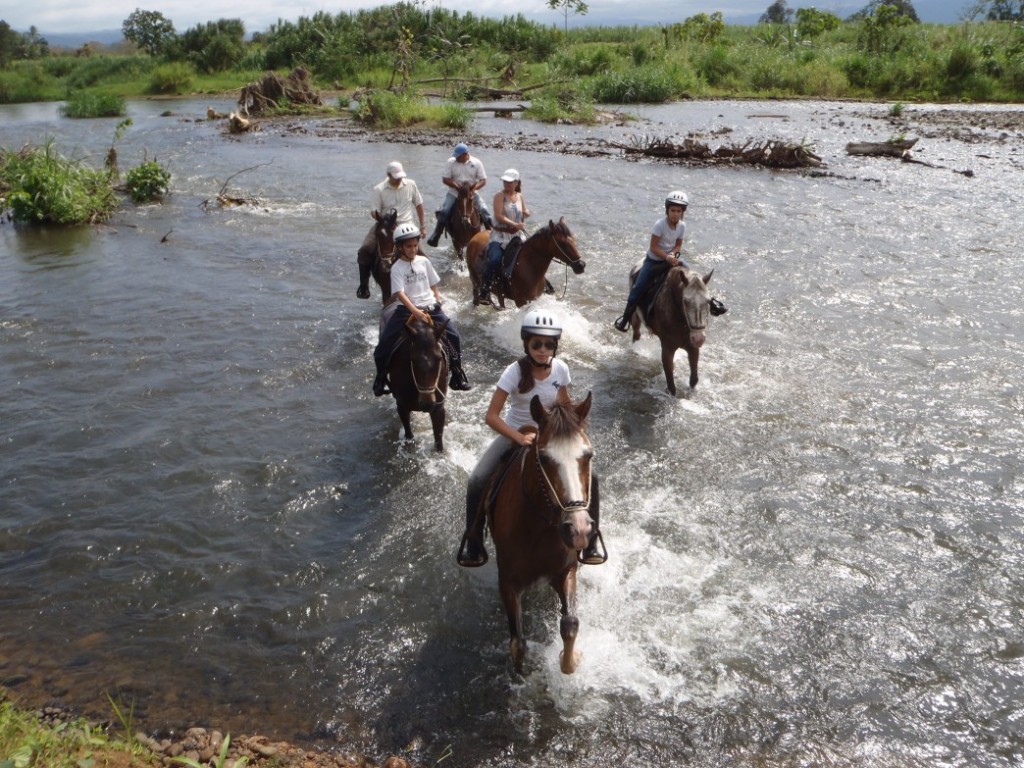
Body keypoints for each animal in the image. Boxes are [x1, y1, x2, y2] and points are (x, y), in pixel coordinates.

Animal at [489, 391, 598, 671]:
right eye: (546, 459)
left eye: (588, 456)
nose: (578, 529)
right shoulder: (507, 582)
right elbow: (518, 645)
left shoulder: (567, 570)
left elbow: (570, 623)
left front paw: (570, 661)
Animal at [626, 264, 716, 397]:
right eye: (685, 301)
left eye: (708, 301)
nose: (699, 338)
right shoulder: (668, 349)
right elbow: (671, 386)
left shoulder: (693, 348)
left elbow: (694, 380)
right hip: (635, 317)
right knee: (636, 334)